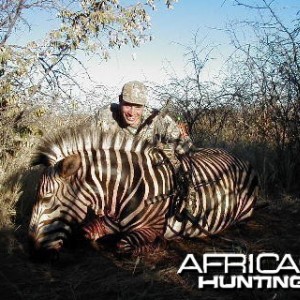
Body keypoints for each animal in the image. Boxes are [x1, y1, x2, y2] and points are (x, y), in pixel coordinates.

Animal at [29, 124, 175, 255]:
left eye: (47, 197)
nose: (33, 251)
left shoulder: (153, 228)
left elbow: (123, 245)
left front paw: (158, 245)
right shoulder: (108, 222)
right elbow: (86, 233)